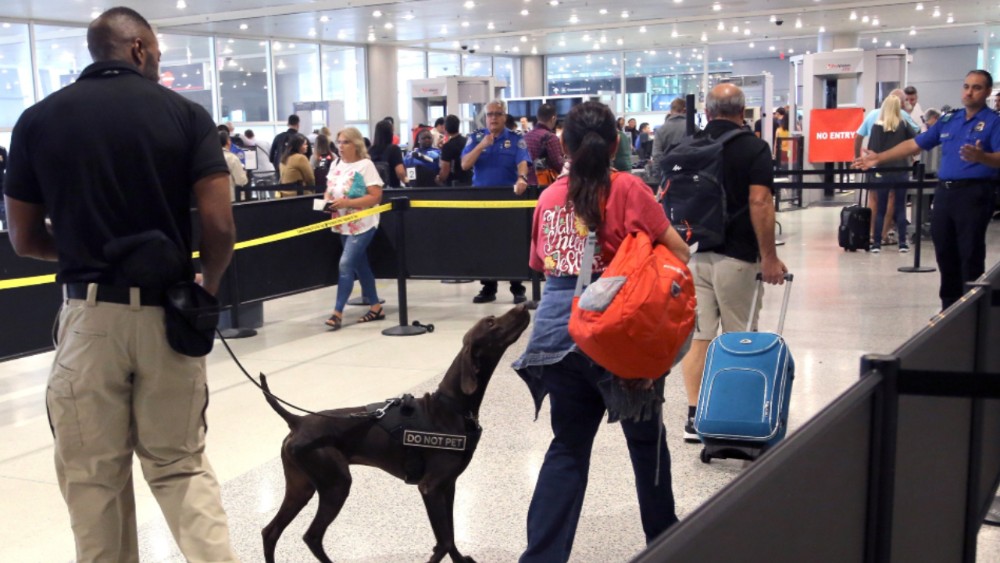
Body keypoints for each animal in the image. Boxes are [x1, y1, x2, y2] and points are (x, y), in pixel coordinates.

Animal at [262, 306, 536, 560]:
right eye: (491, 322)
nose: (524, 305)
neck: (452, 407)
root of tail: (297, 421)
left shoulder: (448, 486)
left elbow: (450, 536)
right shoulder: (430, 487)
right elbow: (444, 541)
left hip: (301, 486)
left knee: (270, 531)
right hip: (336, 485)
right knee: (311, 536)